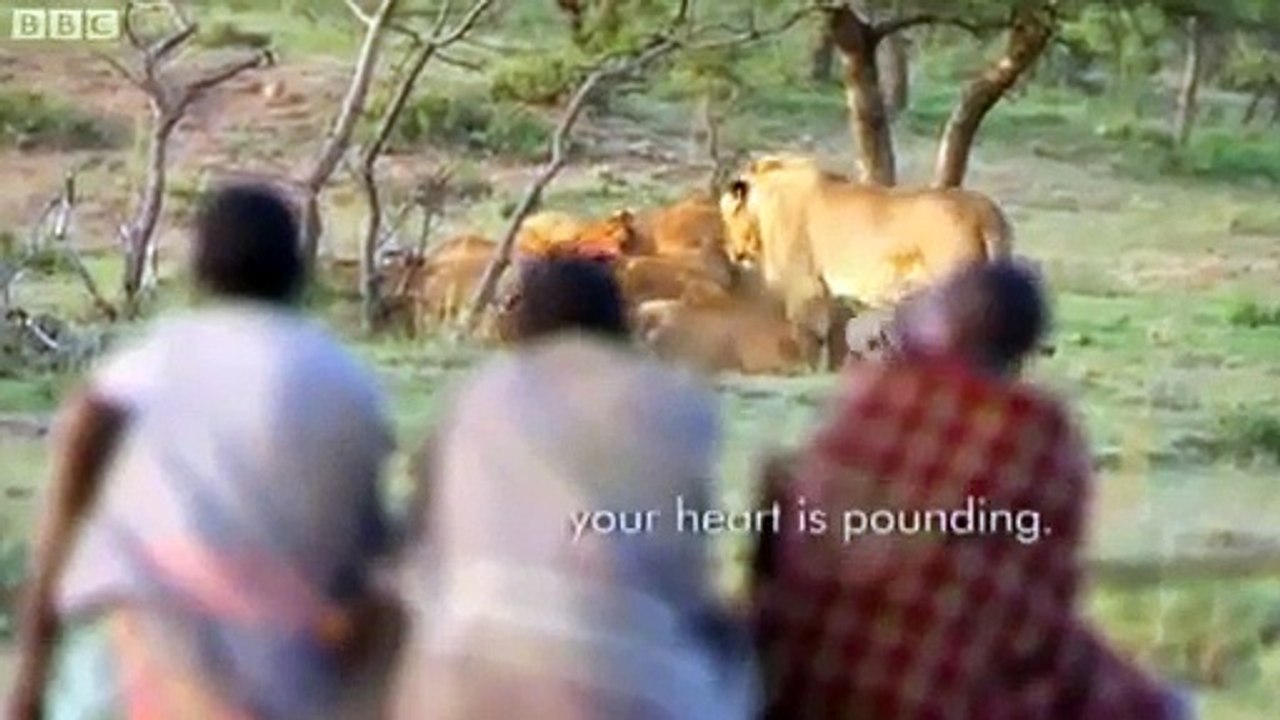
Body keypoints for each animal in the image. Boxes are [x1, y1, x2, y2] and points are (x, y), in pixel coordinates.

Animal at [719, 153, 1014, 368]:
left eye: (727, 215)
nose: (732, 251)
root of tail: (984, 210)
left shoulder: (803, 288)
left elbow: (808, 338)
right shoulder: (831, 293)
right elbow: (836, 340)